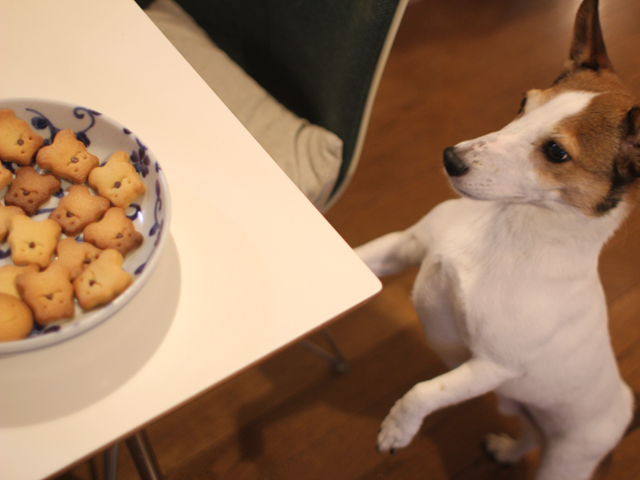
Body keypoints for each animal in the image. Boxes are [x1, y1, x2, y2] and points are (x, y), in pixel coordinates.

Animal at [356, 1, 640, 478]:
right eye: (524, 102)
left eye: (557, 152)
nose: (450, 158)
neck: (508, 227)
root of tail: (627, 406)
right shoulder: (406, 245)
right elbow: (360, 257)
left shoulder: (492, 365)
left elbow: (425, 392)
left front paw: (397, 429)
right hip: (519, 407)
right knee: (530, 434)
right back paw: (506, 450)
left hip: (566, 455)